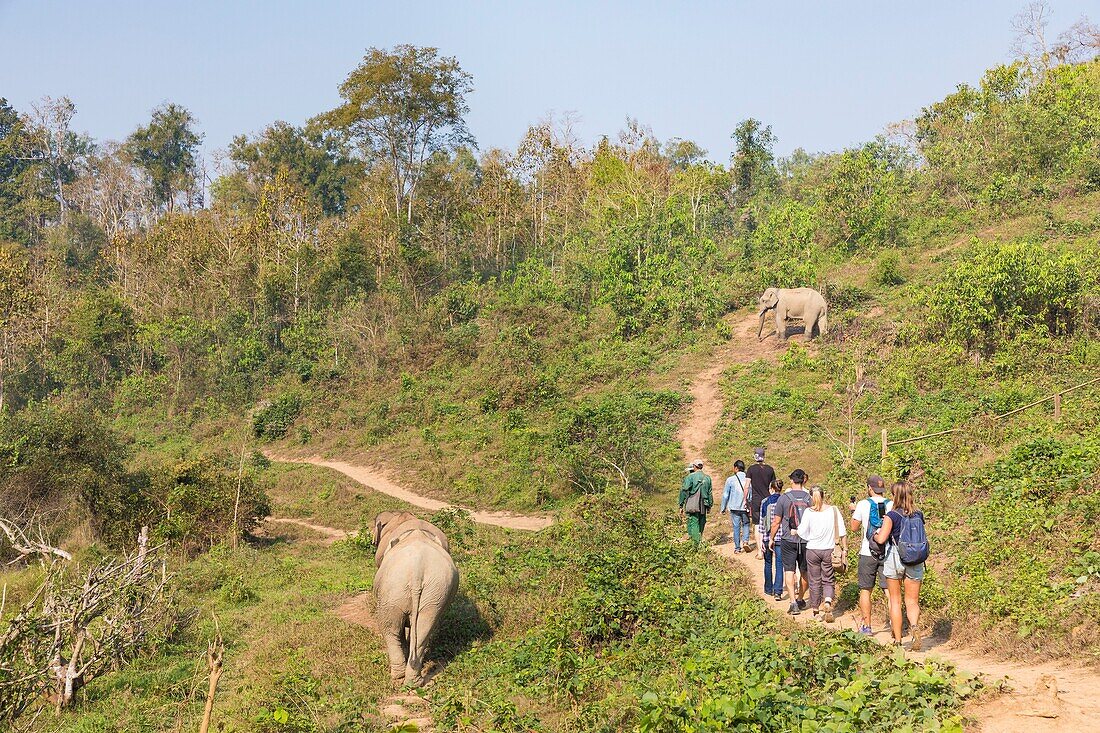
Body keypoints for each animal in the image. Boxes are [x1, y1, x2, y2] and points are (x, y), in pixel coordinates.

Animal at [369, 508, 455, 686]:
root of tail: (417, 570)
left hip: (393, 592)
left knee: (390, 629)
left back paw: (399, 676)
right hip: (433, 594)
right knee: (424, 630)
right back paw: (413, 681)